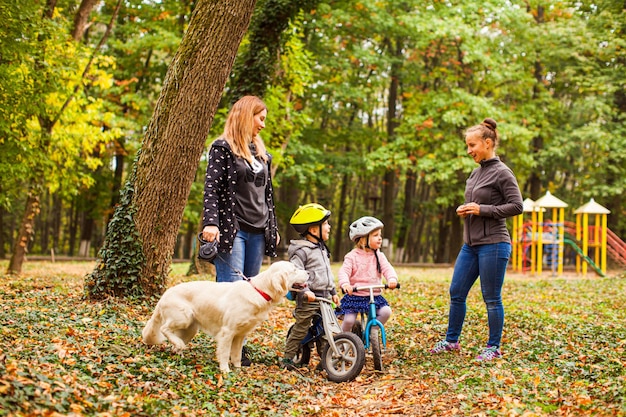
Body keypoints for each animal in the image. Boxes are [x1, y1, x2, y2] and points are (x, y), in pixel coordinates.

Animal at [142, 260, 308, 370]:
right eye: (294, 269)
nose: (308, 272)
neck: (259, 291)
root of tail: (163, 296)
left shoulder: (240, 335)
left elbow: (236, 355)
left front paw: (238, 370)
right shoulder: (227, 332)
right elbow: (224, 353)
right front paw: (225, 371)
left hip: (190, 329)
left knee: (174, 341)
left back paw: (178, 350)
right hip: (184, 317)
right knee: (164, 329)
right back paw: (178, 345)